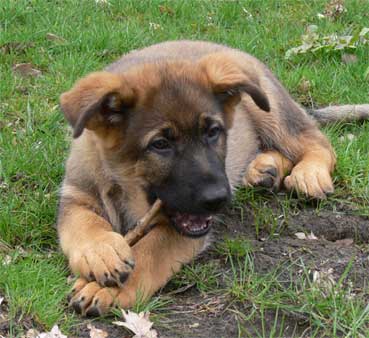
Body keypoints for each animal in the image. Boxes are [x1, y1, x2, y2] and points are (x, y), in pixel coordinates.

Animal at [59, 40, 366, 316]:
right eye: (160, 144)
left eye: (213, 132)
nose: (219, 199)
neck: (123, 188)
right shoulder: (75, 195)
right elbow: (84, 224)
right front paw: (101, 252)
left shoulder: (180, 231)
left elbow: (149, 251)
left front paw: (107, 288)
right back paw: (264, 169)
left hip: (270, 109)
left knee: (316, 141)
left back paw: (308, 174)